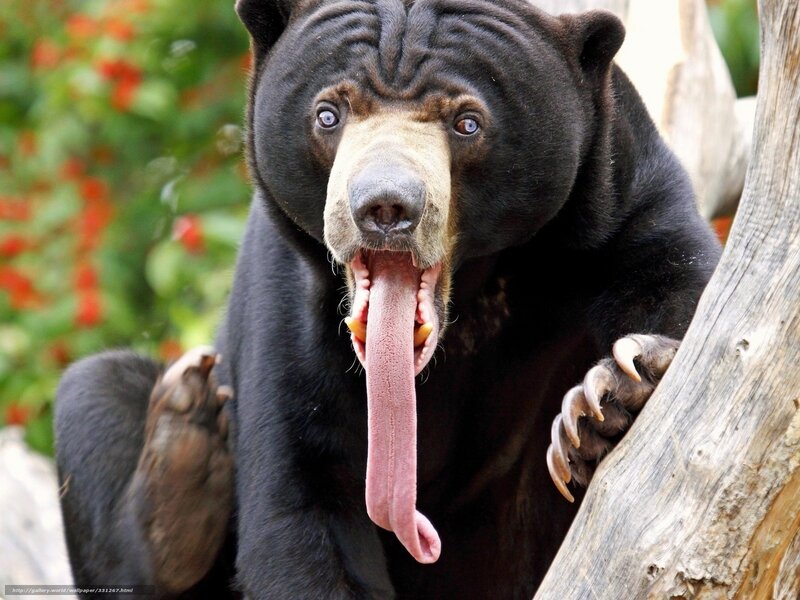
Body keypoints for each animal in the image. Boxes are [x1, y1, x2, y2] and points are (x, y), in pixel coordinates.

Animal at [54, 0, 722, 598]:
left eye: (467, 123)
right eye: (329, 114)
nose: (383, 207)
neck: (473, 293)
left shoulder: (620, 196)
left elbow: (680, 286)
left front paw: (608, 397)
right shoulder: (287, 296)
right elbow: (299, 497)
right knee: (95, 391)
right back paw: (182, 456)